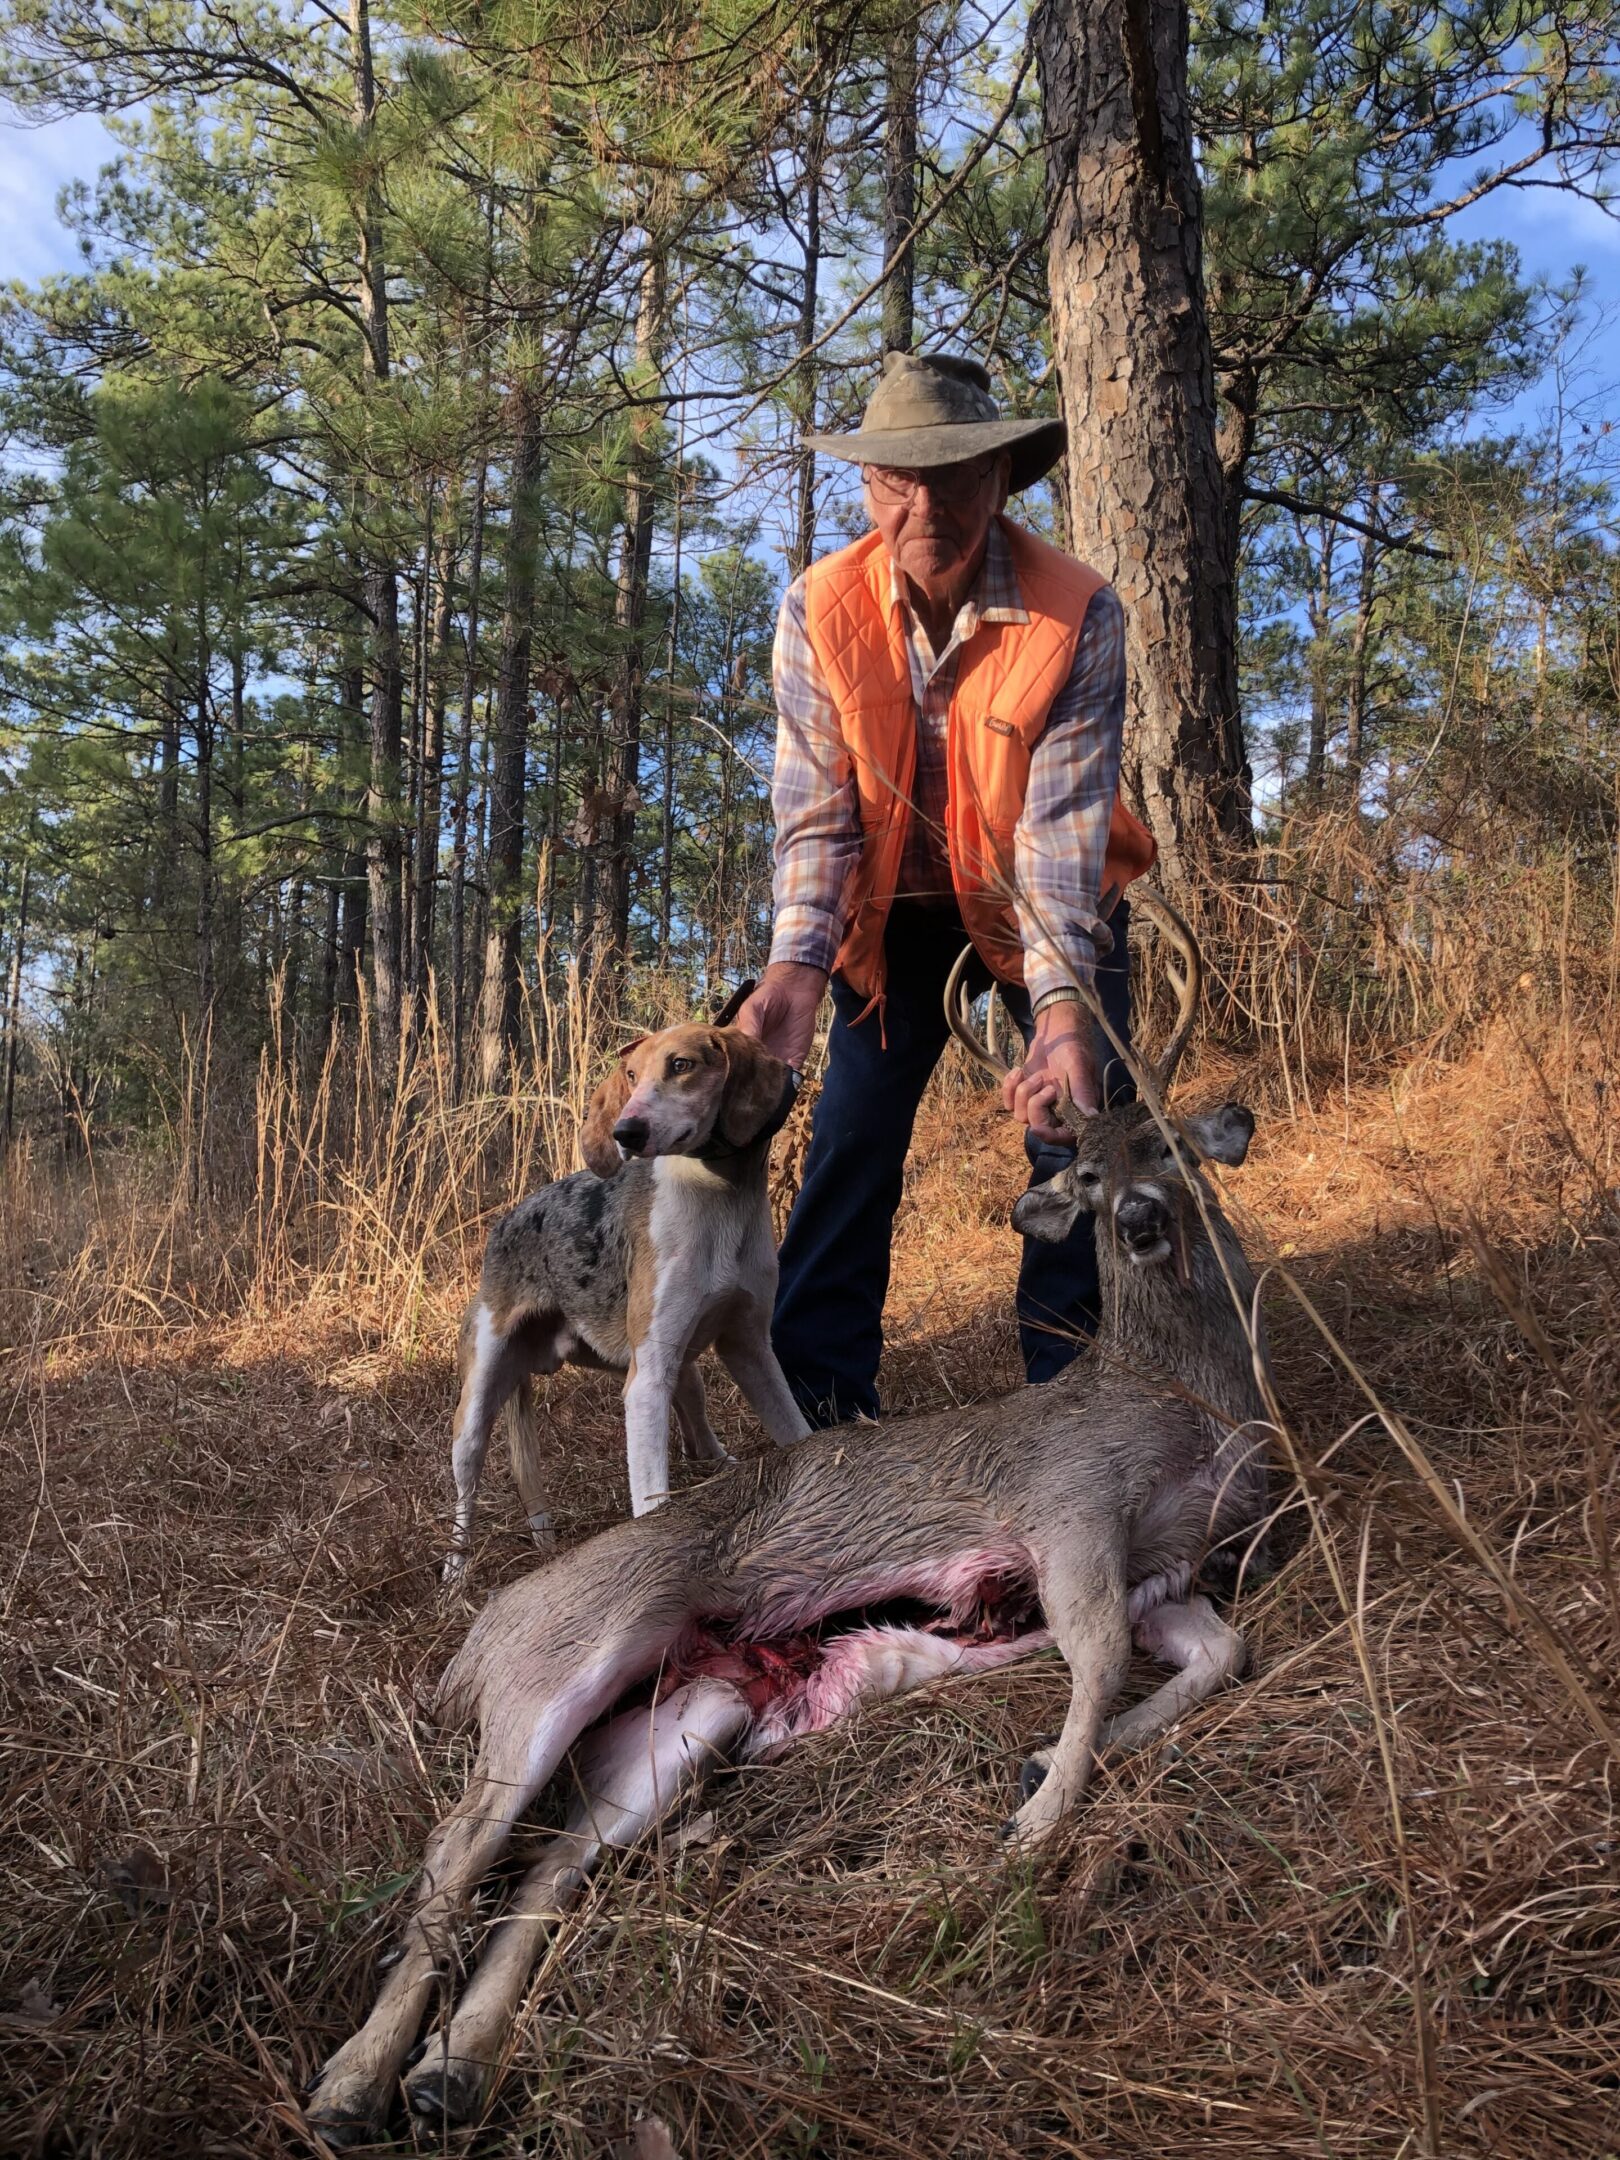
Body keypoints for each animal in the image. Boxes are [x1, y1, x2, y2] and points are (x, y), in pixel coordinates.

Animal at [444, 1002, 807, 1581]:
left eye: (682, 1065)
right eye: (632, 1076)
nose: (626, 1131)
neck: (720, 1195)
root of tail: (503, 1224)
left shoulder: (748, 1348)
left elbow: (797, 1431)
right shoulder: (645, 1384)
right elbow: (652, 1501)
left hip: (681, 1372)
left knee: (697, 1440)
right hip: (477, 1405)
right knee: (465, 1491)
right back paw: (455, 1572)